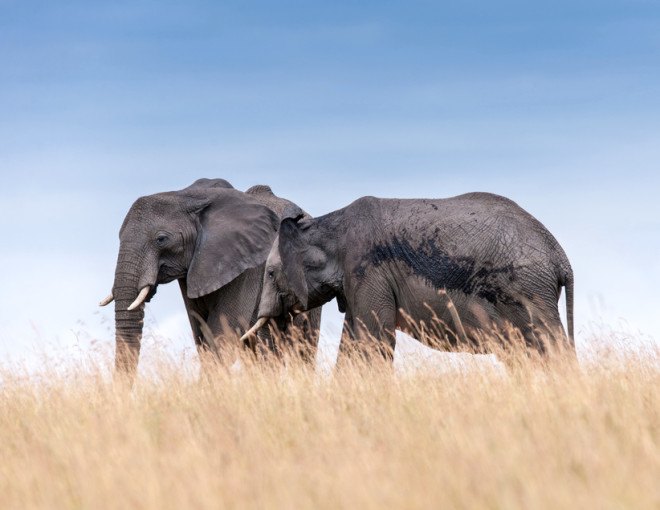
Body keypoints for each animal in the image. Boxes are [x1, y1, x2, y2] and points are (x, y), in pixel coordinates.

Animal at [242, 192, 574, 362]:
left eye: (270, 273)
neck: (328, 225)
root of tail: (561, 258)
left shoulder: (367, 269)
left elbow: (374, 339)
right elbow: (354, 339)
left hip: (528, 289)